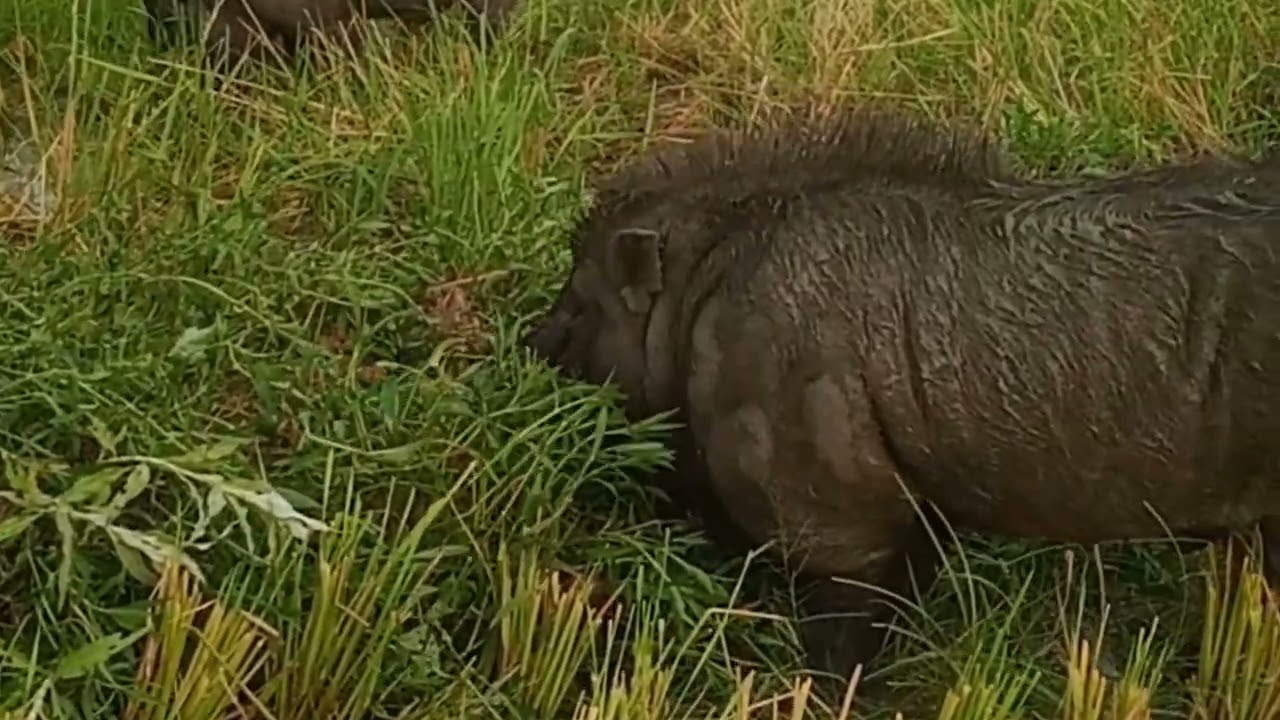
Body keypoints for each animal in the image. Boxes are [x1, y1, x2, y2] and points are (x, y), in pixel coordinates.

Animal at [521, 106, 1280, 681]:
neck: (692, 306)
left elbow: (843, 640)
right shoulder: (917, 503)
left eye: (578, 311)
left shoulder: (835, 512)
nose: (527, 346)